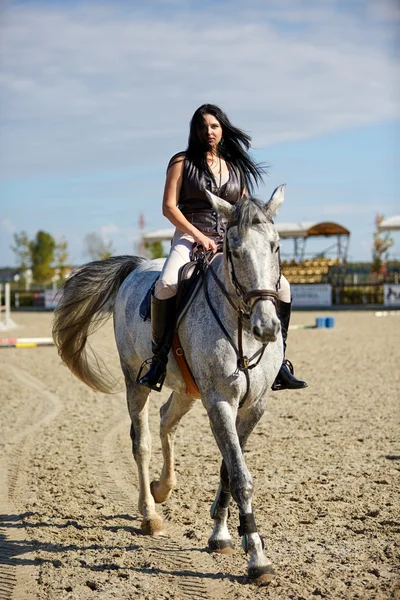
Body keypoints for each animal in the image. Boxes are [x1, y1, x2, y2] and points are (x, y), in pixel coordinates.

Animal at [52, 186, 284, 580]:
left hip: (188, 391)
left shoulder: (254, 406)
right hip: (136, 380)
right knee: (141, 441)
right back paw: (150, 514)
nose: (266, 327)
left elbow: (227, 468)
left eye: (275, 246)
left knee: (165, 420)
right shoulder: (219, 400)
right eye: (234, 251)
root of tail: (137, 268)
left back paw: (163, 487)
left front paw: (221, 535)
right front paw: (257, 558)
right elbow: (240, 476)